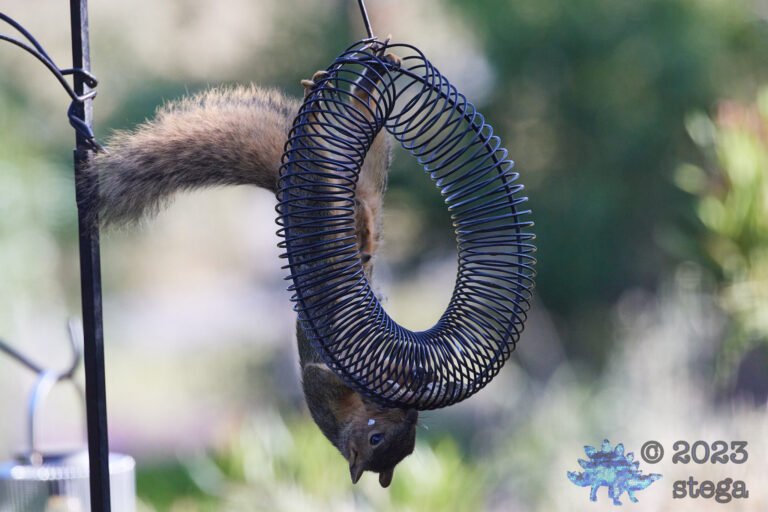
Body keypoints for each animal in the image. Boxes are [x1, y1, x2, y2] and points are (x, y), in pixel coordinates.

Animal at [82, 48, 418, 488]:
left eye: (410, 439)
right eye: (377, 438)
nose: (407, 413)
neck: (346, 422)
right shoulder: (323, 386)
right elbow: (325, 374)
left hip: (357, 180)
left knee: (367, 135)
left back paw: (368, 76)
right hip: (327, 197)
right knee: (337, 145)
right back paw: (339, 84)